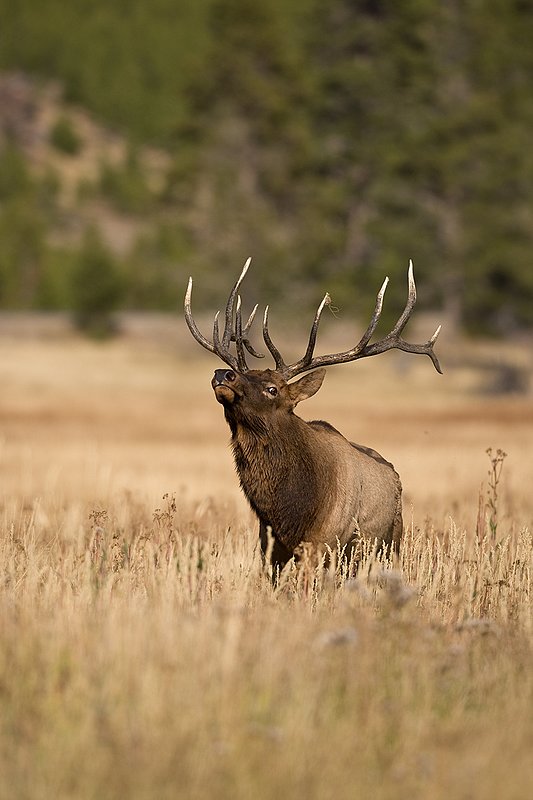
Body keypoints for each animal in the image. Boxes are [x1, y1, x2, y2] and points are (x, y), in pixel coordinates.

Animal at [184, 259, 441, 573]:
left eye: (272, 389)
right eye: (246, 374)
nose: (223, 374)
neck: (291, 512)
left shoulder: (321, 545)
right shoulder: (269, 548)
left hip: (388, 544)